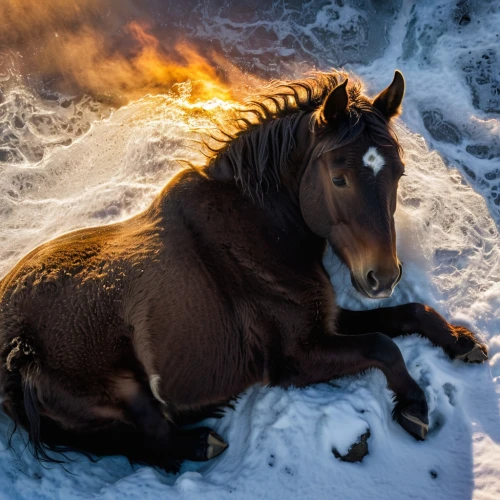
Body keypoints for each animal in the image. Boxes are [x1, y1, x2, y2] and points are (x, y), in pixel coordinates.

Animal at [0, 70, 486, 472]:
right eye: (338, 177)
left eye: (399, 172)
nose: (382, 278)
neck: (260, 226)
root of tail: (15, 345)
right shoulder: (297, 357)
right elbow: (384, 346)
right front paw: (414, 407)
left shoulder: (324, 320)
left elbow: (410, 315)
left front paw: (462, 343)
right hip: (123, 389)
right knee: (152, 435)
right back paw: (201, 442)